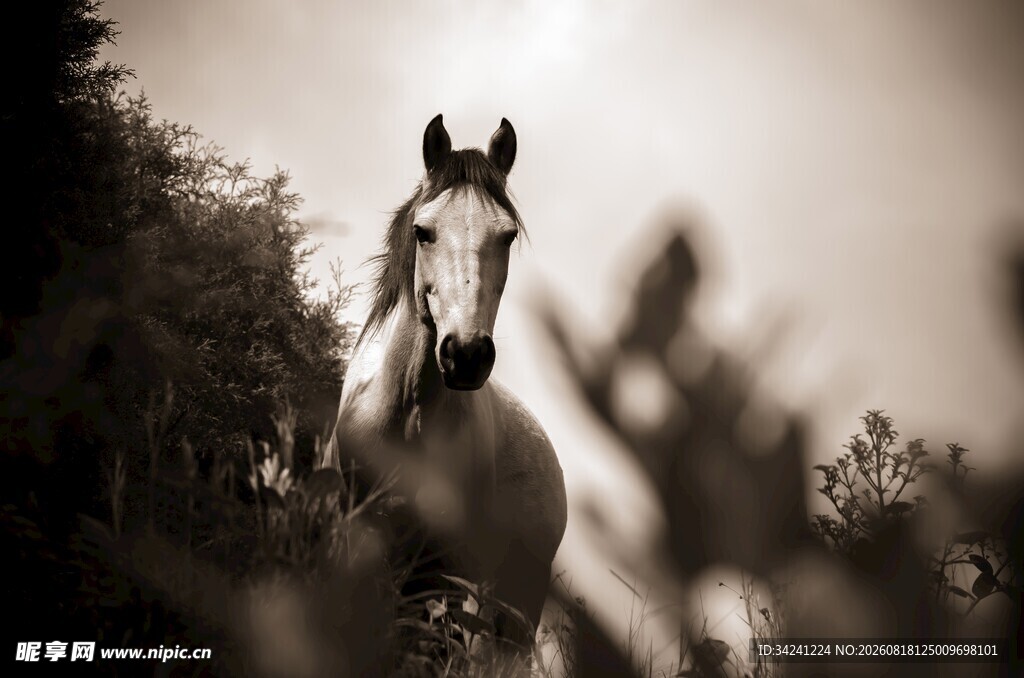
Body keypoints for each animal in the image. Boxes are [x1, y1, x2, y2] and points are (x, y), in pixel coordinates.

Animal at [323, 115, 567, 656]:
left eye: (507, 236)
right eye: (423, 232)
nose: (467, 354)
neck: (406, 413)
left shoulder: (445, 572)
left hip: (512, 604)